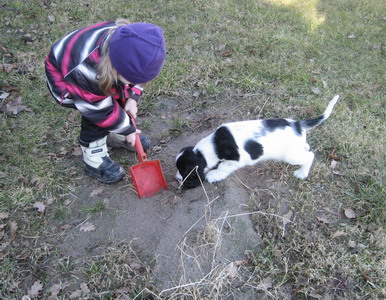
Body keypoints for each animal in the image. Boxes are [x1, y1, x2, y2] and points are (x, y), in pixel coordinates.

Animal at [176, 96, 340, 189]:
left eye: (184, 171)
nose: (177, 179)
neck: (213, 144)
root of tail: (298, 124)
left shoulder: (236, 160)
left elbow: (222, 166)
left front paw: (213, 175)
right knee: (306, 148)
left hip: (290, 156)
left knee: (309, 156)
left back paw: (302, 173)